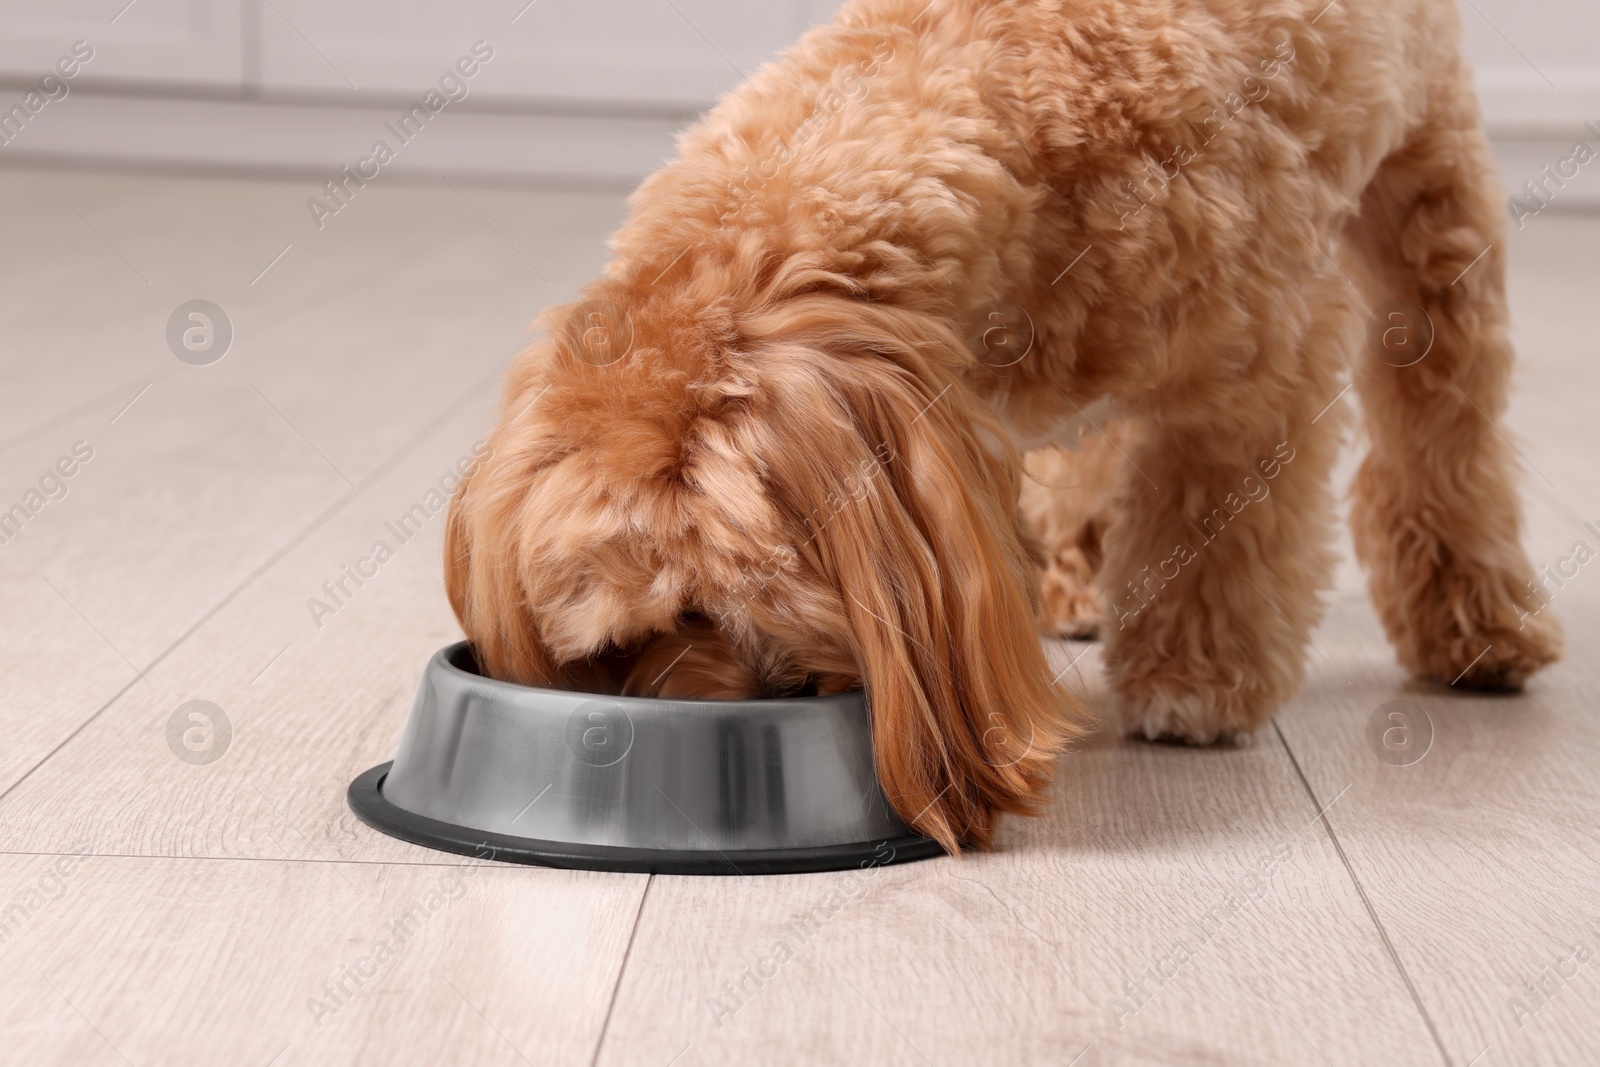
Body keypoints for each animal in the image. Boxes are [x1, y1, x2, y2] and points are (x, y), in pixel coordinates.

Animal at [448, 0, 1561, 851]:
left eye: (730, 595)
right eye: (643, 631)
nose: (764, 693)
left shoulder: (1256, 369)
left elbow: (1218, 532)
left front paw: (1194, 678)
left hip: (1430, 194)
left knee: (1445, 422)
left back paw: (1477, 619)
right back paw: (1076, 579)